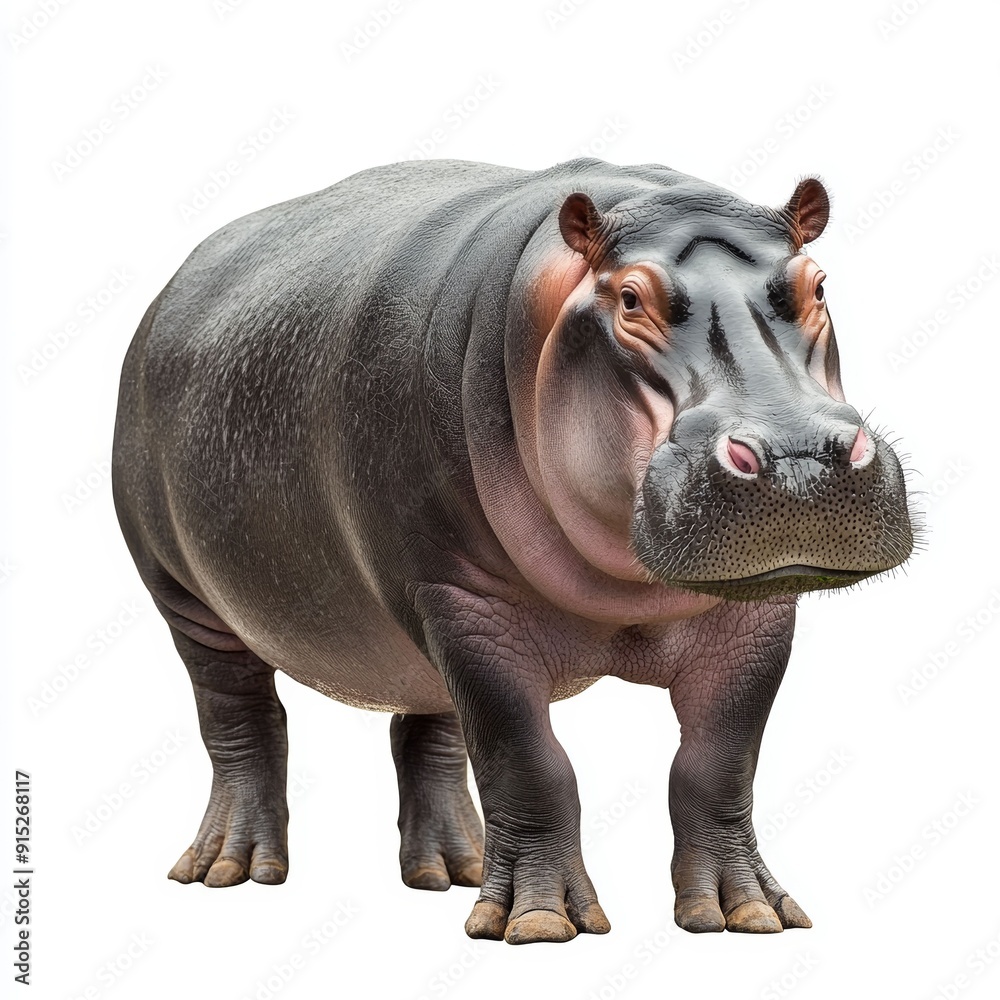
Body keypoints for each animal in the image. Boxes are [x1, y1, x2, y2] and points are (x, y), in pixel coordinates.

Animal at [111, 157, 914, 945]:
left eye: (818, 285)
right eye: (630, 299)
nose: (799, 458)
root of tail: (168, 291)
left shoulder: (756, 615)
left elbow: (717, 765)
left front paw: (747, 913)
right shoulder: (467, 602)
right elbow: (526, 761)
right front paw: (539, 923)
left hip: (410, 626)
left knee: (426, 724)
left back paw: (450, 870)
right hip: (190, 599)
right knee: (240, 720)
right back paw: (231, 868)